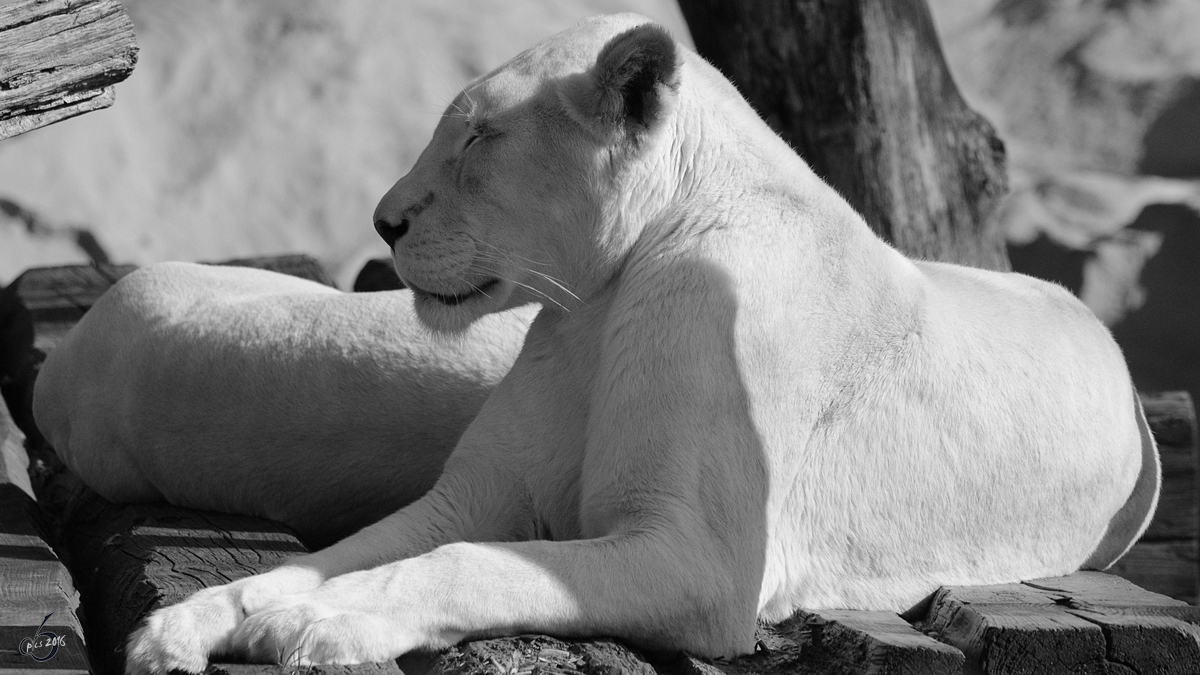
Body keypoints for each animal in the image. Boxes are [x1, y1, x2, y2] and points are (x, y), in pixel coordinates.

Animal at [39, 13, 1161, 667]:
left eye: (477, 137)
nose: (382, 221)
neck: (595, 304)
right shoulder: (469, 492)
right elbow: (334, 557)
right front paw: (195, 622)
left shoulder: (701, 559)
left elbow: (470, 564)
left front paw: (326, 625)